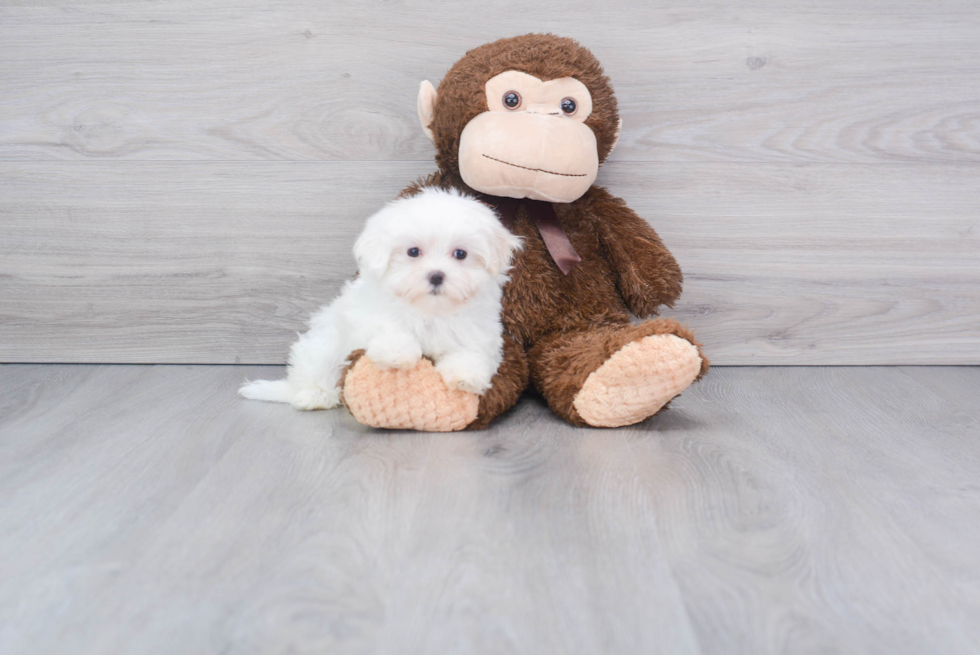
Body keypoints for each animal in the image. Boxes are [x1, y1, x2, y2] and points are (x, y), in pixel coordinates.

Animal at [237, 187, 520, 410]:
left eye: (460, 254)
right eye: (413, 252)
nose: (436, 275)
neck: (429, 311)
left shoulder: (478, 334)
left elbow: (470, 354)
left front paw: (465, 376)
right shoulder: (370, 315)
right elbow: (389, 329)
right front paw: (397, 354)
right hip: (324, 344)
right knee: (315, 372)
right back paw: (314, 396)